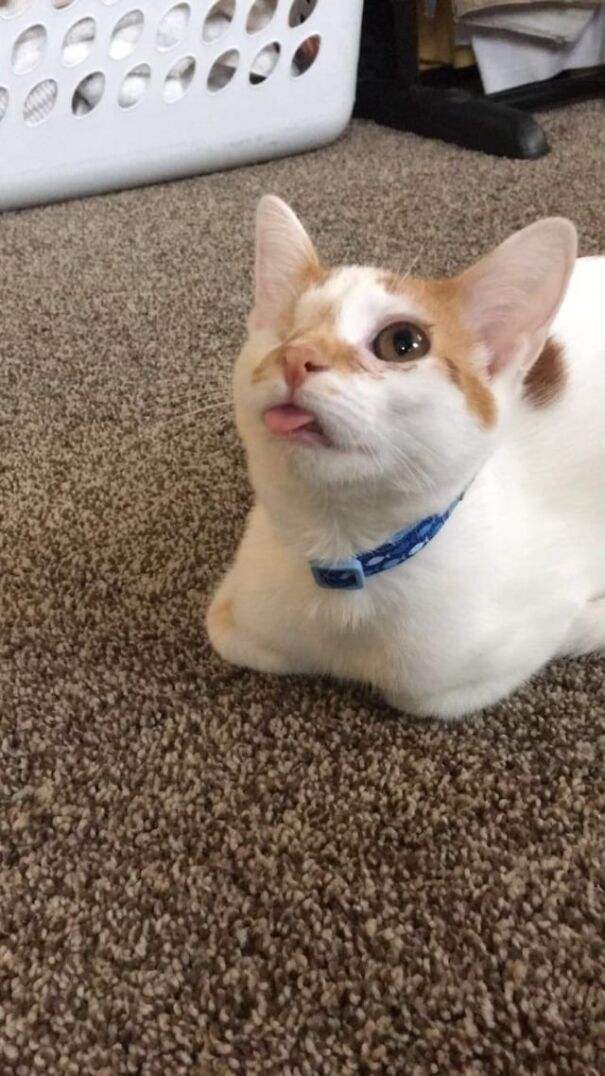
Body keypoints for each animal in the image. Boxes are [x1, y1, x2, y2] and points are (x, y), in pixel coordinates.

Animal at [204, 196, 602, 718]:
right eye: (284, 331)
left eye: (402, 343)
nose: (295, 356)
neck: (341, 548)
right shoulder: (234, 613)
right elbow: (242, 641)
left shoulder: (504, 648)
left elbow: (421, 695)